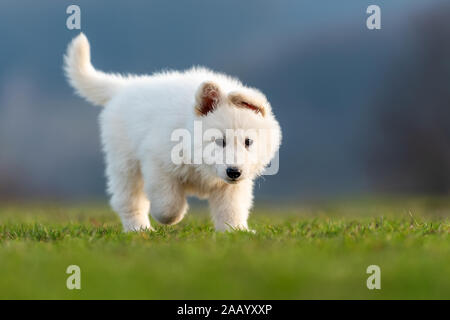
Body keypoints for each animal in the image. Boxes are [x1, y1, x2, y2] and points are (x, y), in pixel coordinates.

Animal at [63, 33, 282, 231]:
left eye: (248, 142)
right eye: (220, 141)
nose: (234, 172)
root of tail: (126, 87)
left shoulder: (230, 186)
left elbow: (231, 209)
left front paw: (235, 231)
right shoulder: (158, 162)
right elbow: (168, 203)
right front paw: (171, 217)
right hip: (125, 164)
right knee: (129, 201)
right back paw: (139, 229)